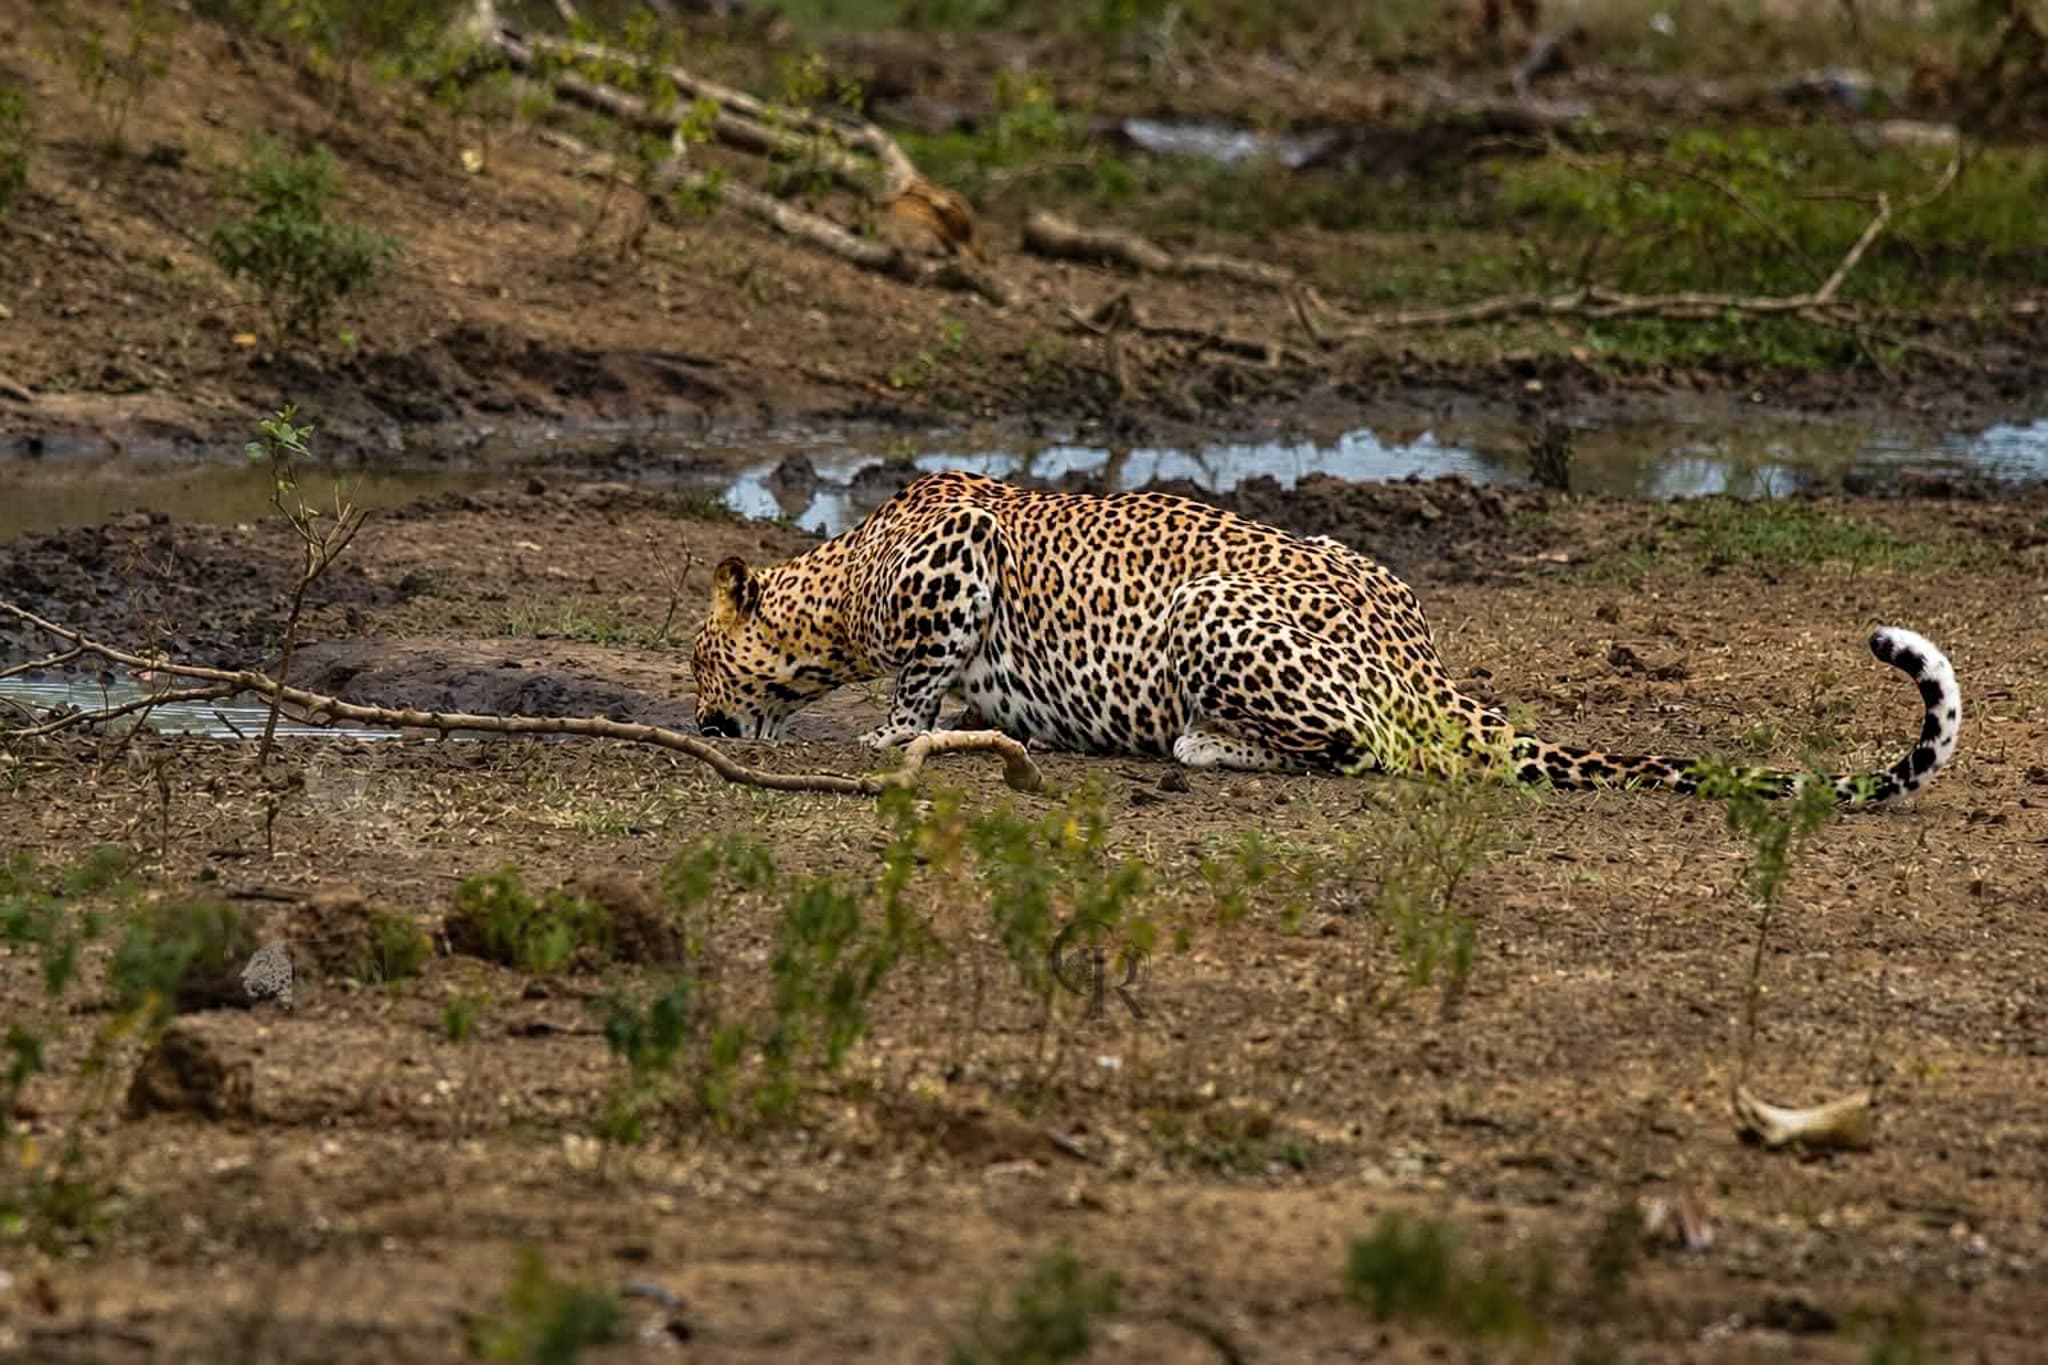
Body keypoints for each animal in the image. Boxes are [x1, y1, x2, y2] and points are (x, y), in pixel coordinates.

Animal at [690, 471, 1961, 803]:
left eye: (700, 659)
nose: (697, 715)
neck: (845, 577)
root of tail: (1423, 659)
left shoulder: (959, 552)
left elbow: (920, 681)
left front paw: (885, 734)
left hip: (1210, 615)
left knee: (1362, 745)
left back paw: (1197, 745)